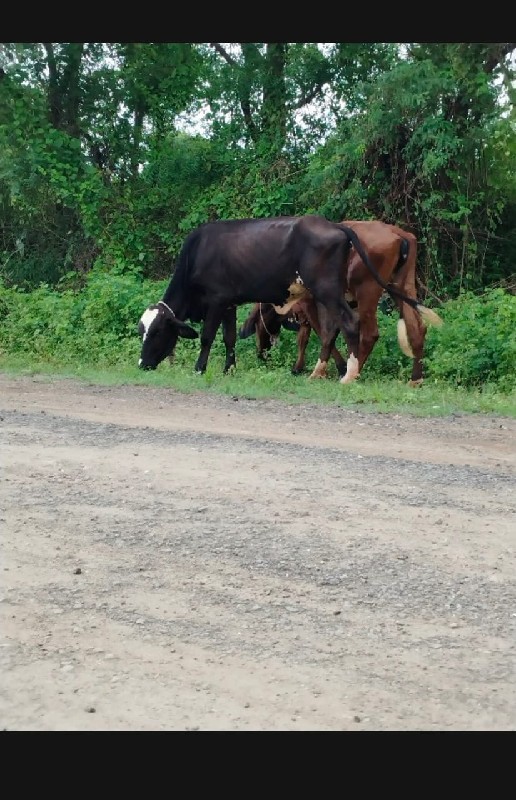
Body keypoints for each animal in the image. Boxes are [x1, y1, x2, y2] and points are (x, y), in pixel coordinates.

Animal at [137, 212, 388, 376]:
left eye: (157, 331)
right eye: (142, 331)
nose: (142, 364)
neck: (197, 254)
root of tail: (334, 225)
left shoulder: (216, 300)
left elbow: (207, 336)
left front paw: (199, 368)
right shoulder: (229, 303)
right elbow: (229, 337)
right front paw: (229, 369)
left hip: (328, 291)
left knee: (349, 323)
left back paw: (350, 374)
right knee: (332, 329)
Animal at [240, 216, 442, 384]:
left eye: (257, 325)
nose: (261, 355)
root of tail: (399, 234)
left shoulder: (312, 302)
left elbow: (322, 333)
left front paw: (331, 368)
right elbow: (322, 334)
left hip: (367, 289)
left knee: (370, 334)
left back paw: (353, 373)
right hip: (401, 285)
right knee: (416, 328)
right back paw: (415, 379)